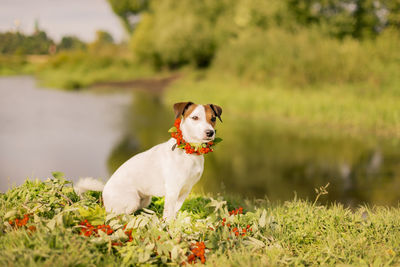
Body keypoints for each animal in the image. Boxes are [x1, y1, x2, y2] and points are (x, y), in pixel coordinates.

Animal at [75, 101, 222, 221]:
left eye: (213, 118)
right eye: (195, 117)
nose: (210, 132)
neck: (190, 153)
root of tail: (104, 194)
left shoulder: (186, 189)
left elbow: (175, 210)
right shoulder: (172, 190)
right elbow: (169, 213)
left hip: (145, 199)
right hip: (132, 200)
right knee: (117, 215)